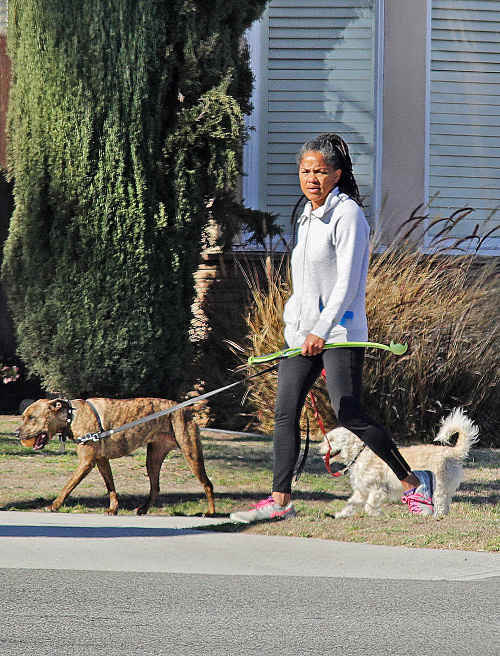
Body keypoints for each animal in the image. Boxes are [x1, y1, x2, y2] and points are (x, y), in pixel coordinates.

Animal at [15, 398, 215, 516]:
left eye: (32, 417)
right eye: (24, 416)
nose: (16, 433)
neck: (71, 415)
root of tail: (187, 409)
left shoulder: (86, 462)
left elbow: (67, 486)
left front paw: (55, 505)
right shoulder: (101, 461)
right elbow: (110, 487)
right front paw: (113, 508)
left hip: (191, 453)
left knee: (207, 484)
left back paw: (211, 512)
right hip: (153, 457)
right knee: (155, 487)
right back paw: (143, 508)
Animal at [318, 408, 478, 520]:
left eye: (331, 439)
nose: (318, 447)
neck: (359, 454)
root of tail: (453, 452)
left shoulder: (377, 489)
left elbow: (370, 506)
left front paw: (376, 514)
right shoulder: (361, 491)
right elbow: (351, 504)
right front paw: (341, 514)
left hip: (439, 486)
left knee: (442, 504)